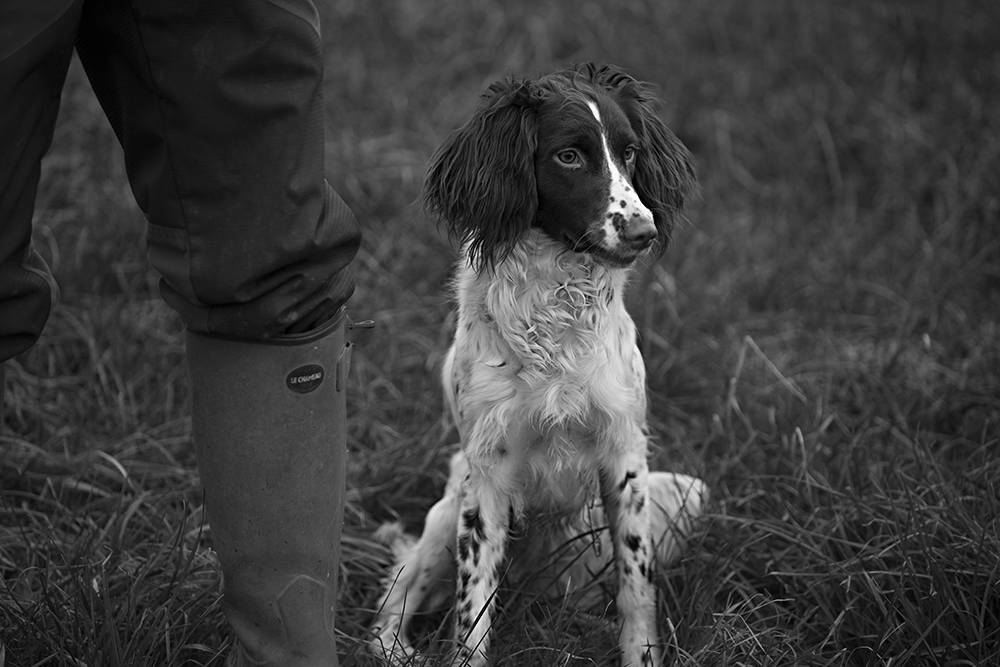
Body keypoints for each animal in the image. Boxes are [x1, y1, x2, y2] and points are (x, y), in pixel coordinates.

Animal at [369, 63, 706, 667]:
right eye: (568, 156)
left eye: (630, 153)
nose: (643, 232)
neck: (555, 304)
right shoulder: (486, 474)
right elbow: (472, 610)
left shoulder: (625, 454)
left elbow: (636, 591)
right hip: (443, 518)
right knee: (395, 602)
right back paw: (399, 649)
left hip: (685, 494)